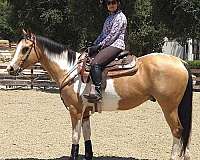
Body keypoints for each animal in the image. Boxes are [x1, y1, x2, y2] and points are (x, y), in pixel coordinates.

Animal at [7, 30, 193, 159]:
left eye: (25, 49)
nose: (10, 68)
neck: (69, 69)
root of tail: (180, 62)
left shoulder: (75, 111)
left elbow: (75, 136)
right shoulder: (85, 113)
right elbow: (87, 136)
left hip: (169, 107)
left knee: (177, 131)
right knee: (185, 133)